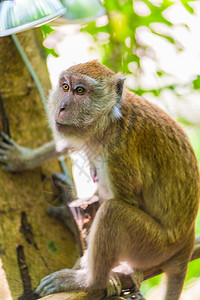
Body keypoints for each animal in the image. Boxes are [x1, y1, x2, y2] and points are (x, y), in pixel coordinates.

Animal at [2, 59, 200, 298]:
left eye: (80, 90)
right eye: (65, 87)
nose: (61, 107)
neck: (110, 119)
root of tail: (187, 237)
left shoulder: (118, 151)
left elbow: (128, 201)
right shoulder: (86, 133)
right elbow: (67, 141)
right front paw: (23, 159)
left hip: (156, 245)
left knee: (112, 211)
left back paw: (89, 281)